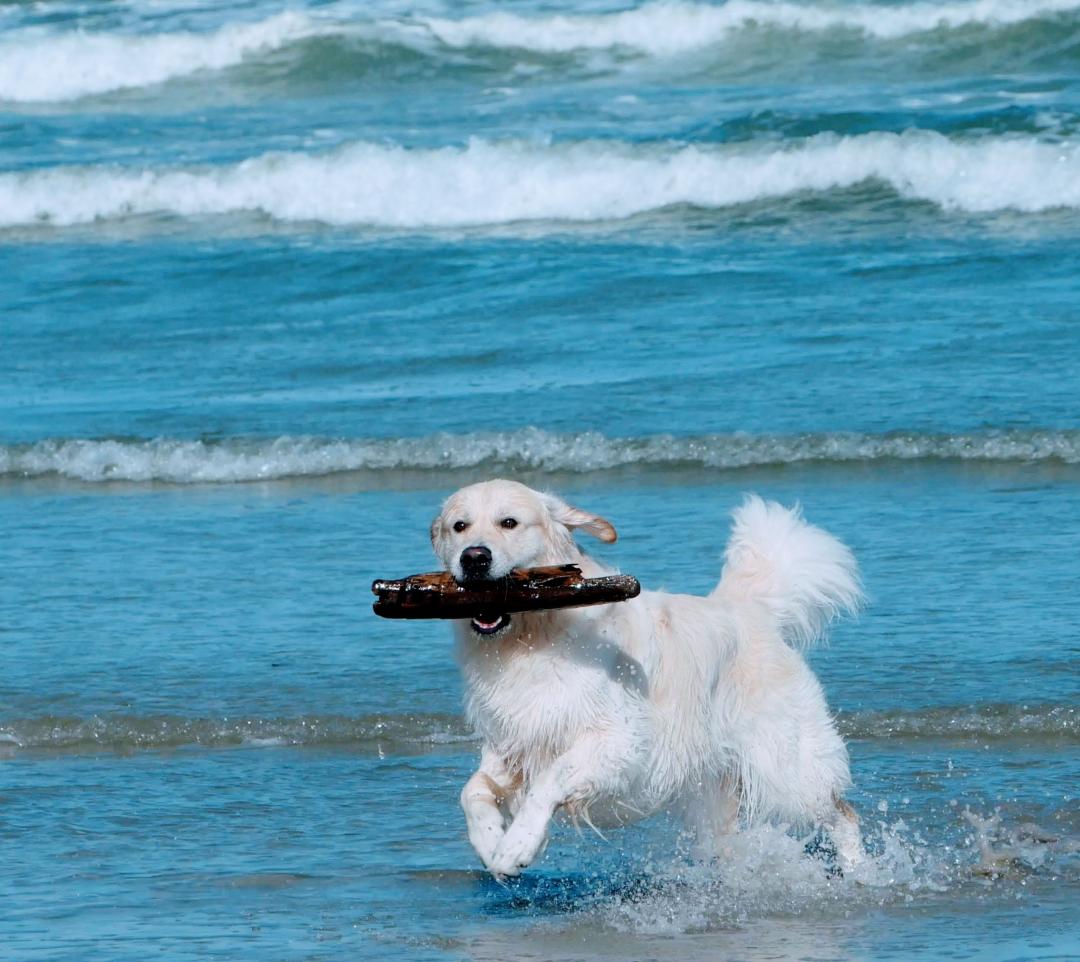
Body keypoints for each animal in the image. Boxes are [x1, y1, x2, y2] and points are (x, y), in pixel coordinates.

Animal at [429, 479, 859, 881]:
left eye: (509, 522)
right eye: (459, 526)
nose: (474, 558)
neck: (532, 636)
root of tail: (748, 608)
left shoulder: (618, 740)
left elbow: (550, 778)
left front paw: (516, 846)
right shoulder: (511, 743)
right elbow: (472, 791)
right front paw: (490, 843)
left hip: (785, 766)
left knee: (842, 812)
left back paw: (860, 873)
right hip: (713, 794)